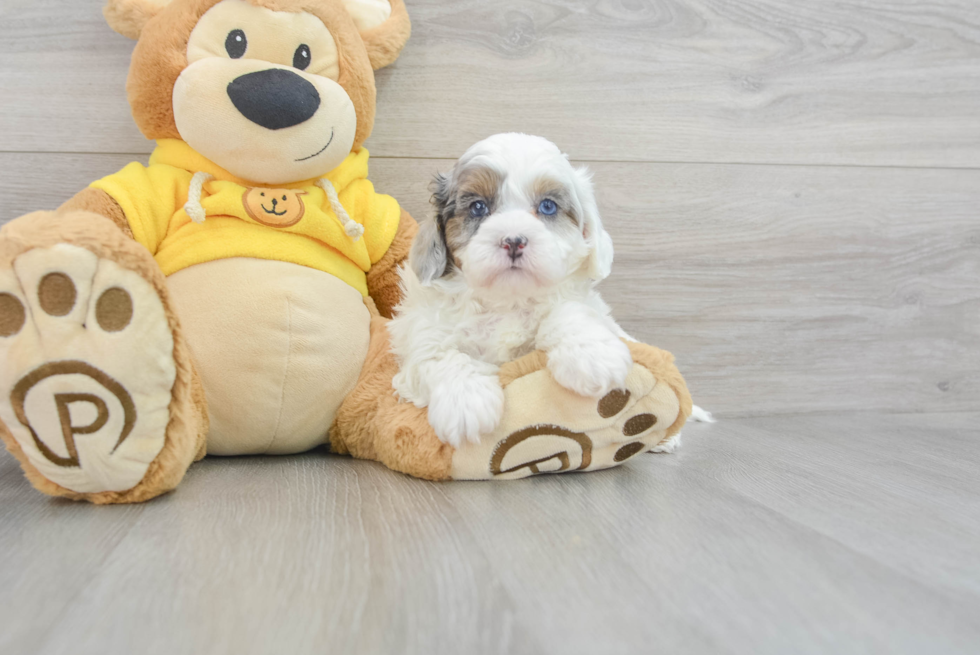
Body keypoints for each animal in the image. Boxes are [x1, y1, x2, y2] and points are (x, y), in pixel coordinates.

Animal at [386, 135, 632, 448]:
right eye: (478, 207)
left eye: (548, 206)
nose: (514, 240)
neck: (507, 300)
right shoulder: (423, 331)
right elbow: (439, 354)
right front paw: (465, 401)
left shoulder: (577, 301)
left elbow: (569, 310)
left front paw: (591, 355)